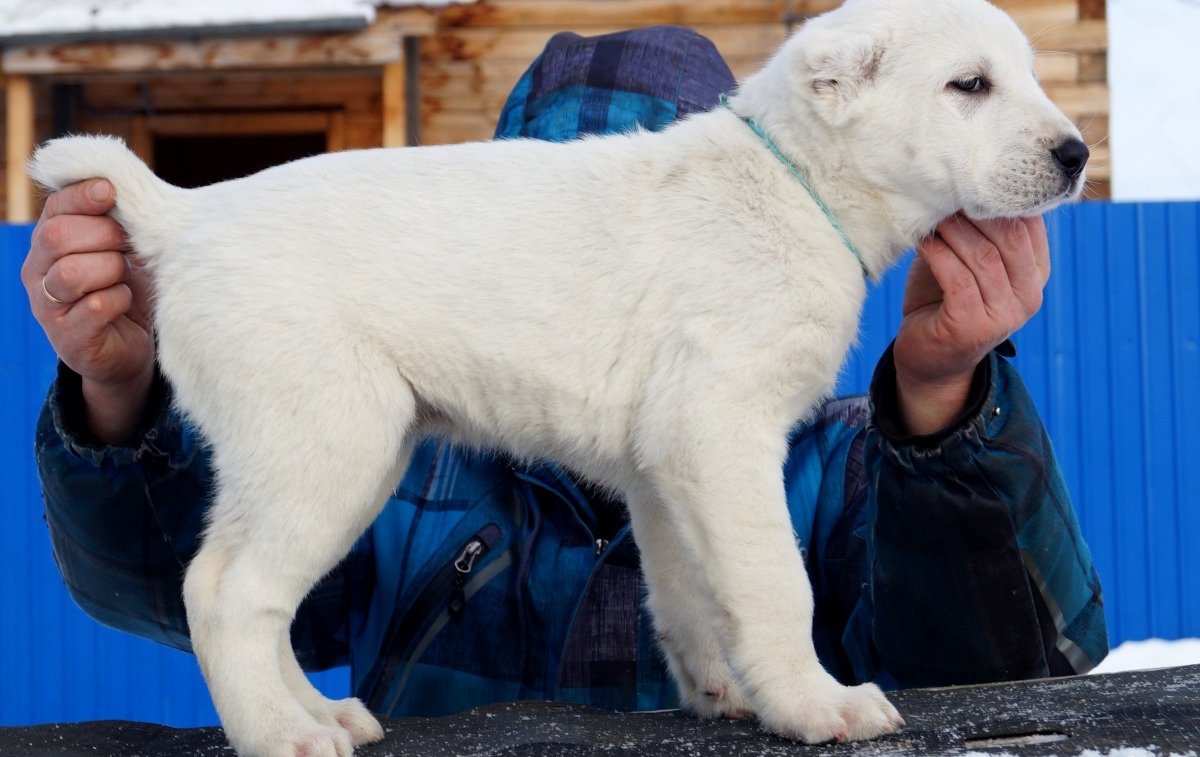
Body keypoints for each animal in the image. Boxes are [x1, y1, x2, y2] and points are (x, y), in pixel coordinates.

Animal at [35, 0, 1089, 753]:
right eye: (968, 85)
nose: (1076, 152)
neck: (791, 185)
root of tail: (185, 217)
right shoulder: (722, 427)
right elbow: (774, 584)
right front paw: (814, 703)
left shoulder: (667, 465)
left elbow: (688, 591)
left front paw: (721, 692)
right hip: (326, 442)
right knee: (226, 589)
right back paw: (283, 734)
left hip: (327, 452)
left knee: (248, 591)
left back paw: (325, 715)